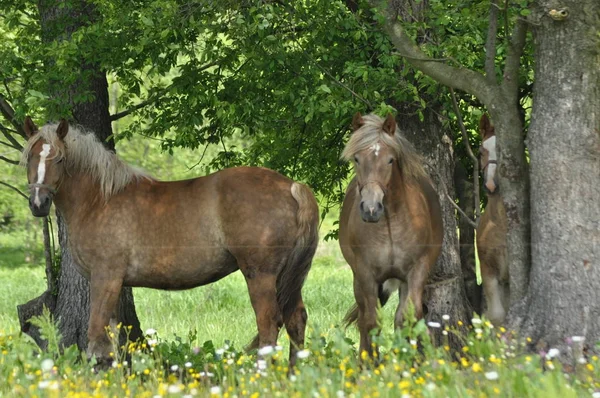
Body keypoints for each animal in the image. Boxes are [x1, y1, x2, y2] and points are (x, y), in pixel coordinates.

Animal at [19, 116, 318, 368]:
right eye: (30, 157)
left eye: (59, 159)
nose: (38, 203)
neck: (99, 200)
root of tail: (292, 186)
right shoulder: (114, 283)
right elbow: (113, 342)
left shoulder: (105, 277)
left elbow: (96, 339)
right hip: (287, 277)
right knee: (295, 320)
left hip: (261, 275)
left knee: (269, 325)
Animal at [340, 112, 442, 358]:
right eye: (357, 159)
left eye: (390, 160)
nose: (371, 208)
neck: (389, 226)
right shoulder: (366, 274)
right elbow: (371, 322)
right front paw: (371, 363)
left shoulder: (416, 271)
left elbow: (407, 319)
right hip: (359, 281)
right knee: (364, 319)